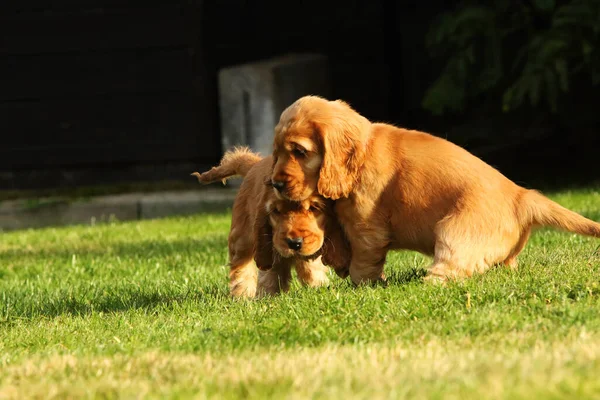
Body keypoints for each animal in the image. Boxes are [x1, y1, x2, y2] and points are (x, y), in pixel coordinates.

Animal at [192, 147, 350, 296]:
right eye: (276, 211)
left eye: (313, 208)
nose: (294, 243)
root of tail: (255, 164)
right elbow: (271, 273)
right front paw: (268, 296)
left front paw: (319, 286)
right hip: (242, 236)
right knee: (241, 264)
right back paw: (242, 294)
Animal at [268, 95, 600, 284]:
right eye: (277, 152)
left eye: (299, 151)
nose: (276, 183)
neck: (361, 153)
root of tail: (521, 196)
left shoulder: (367, 228)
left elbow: (363, 261)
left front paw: (360, 284)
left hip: (456, 232)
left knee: (453, 270)